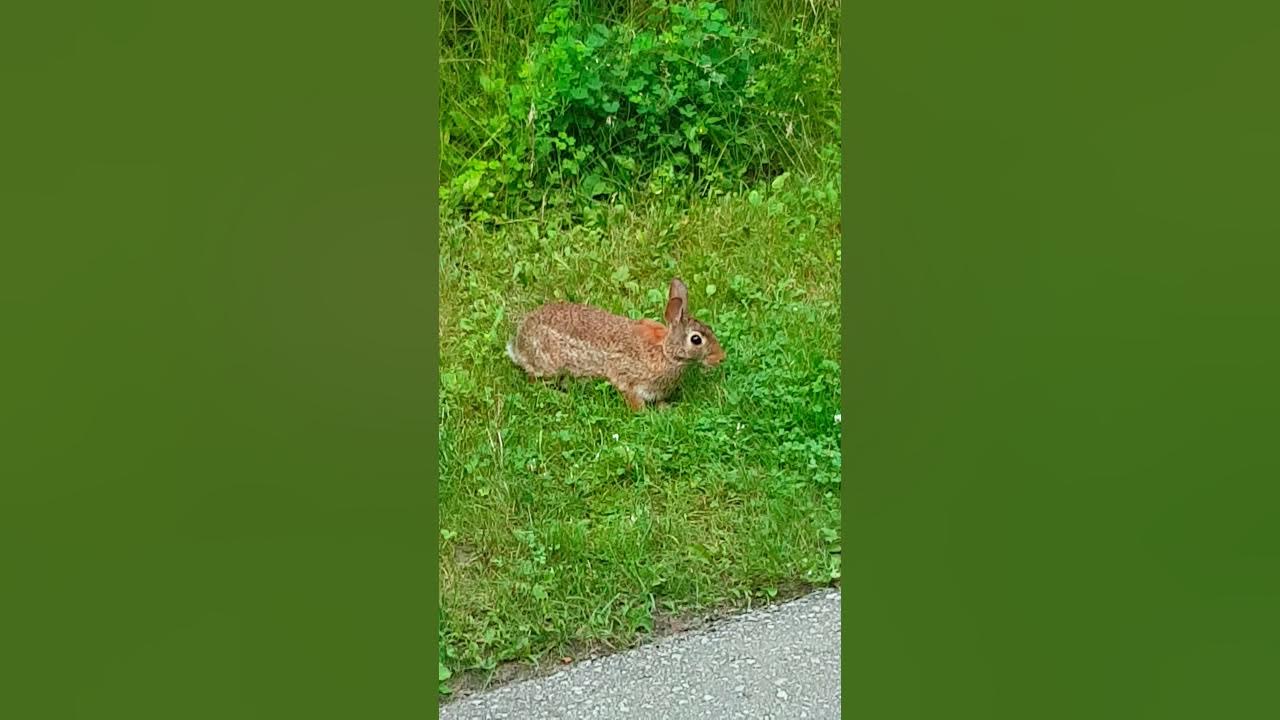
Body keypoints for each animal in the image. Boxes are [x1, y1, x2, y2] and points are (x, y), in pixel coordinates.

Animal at [506, 278, 725, 411]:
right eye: (696, 339)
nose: (721, 358)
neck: (666, 352)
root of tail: (519, 343)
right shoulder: (628, 381)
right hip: (550, 367)